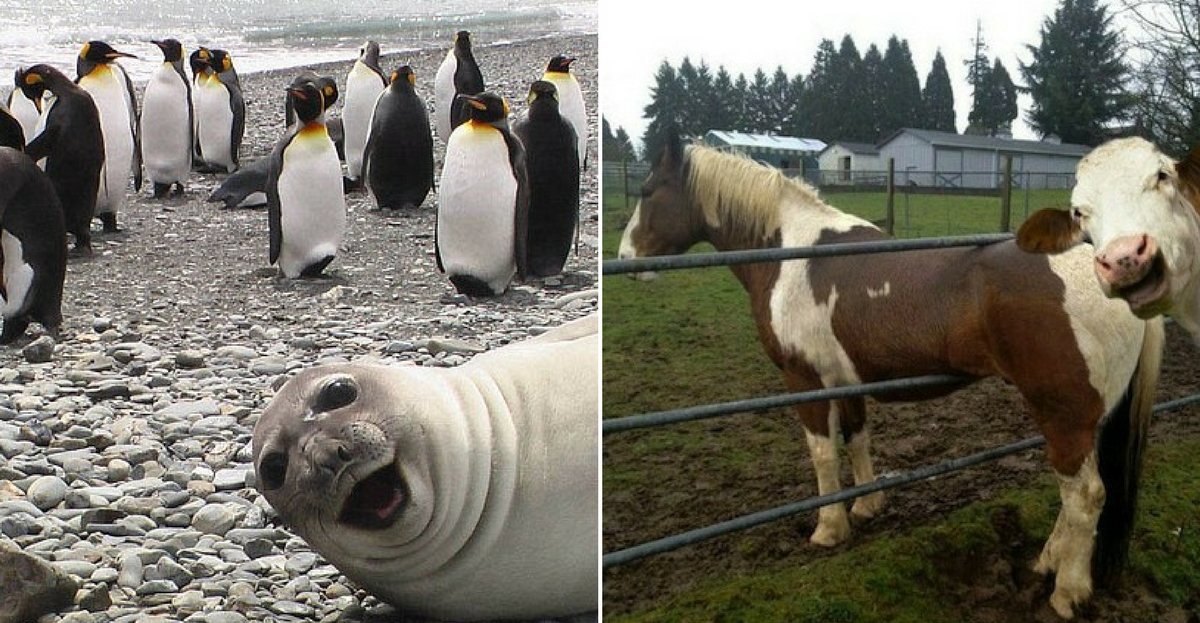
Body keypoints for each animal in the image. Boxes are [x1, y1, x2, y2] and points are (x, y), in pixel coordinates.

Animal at [619, 132, 1161, 619]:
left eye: (647, 190)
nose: (625, 260)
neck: (789, 253)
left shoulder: (804, 381)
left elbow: (822, 453)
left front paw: (829, 529)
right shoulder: (848, 378)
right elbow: (857, 439)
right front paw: (867, 507)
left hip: (1063, 413)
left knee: (1085, 496)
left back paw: (1068, 593)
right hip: (1084, 417)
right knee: (1074, 496)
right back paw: (1046, 562)